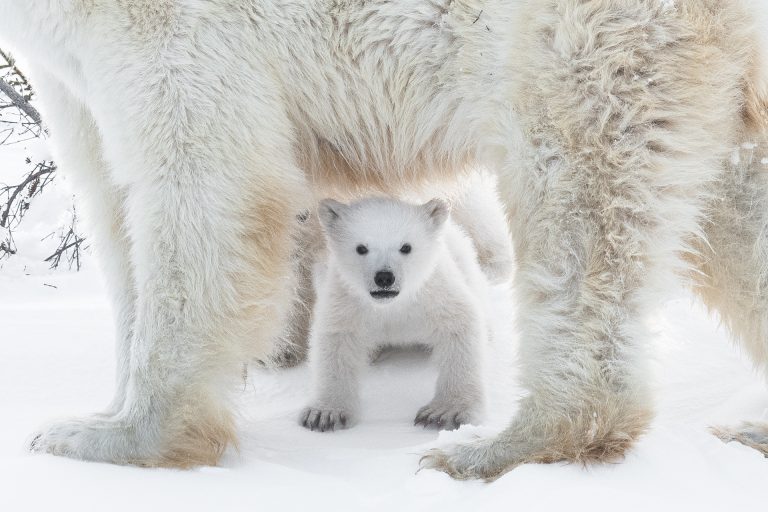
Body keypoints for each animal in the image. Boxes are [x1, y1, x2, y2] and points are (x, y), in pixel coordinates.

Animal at [1, 1, 768, 480]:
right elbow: (109, 198)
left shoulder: (179, 27)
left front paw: (102, 438)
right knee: (733, 200)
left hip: (575, 37)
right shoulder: (70, 72)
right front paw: (99, 412)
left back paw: (493, 447)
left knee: (575, 193)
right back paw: (752, 429)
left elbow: (205, 176)